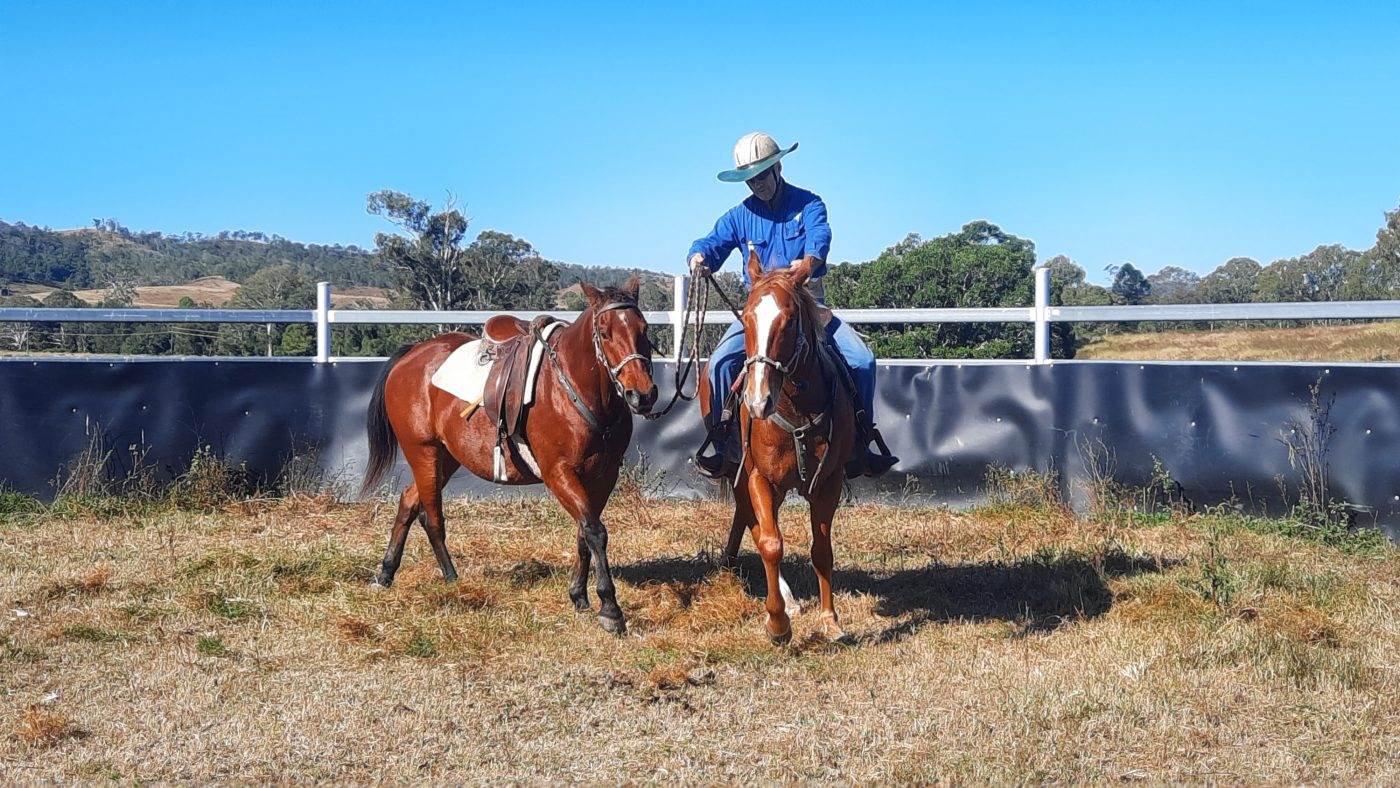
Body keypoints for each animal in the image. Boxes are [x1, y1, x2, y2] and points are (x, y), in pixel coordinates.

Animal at [366, 277, 660, 635]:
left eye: (644, 329)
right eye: (604, 333)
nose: (642, 394)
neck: (575, 387)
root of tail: (411, 354)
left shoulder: (604, 476)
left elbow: (584, 532)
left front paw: (579, 595)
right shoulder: (558, 472)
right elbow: (595, 531)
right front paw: (610, 608)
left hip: (446, 457)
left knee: (408, 502)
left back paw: (386, 572)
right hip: (423, 452)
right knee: (431, 516)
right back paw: (451, 578)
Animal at [697, 249, 851, 643]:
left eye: (790, 318)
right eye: (747, 315)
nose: (756, 402)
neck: (794, 408)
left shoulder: (829, 482)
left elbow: (821, 549)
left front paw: (830, 620)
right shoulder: (758, 477)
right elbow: (770, 542)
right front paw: (778, 622)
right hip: (743, 474)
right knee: (753, 522)